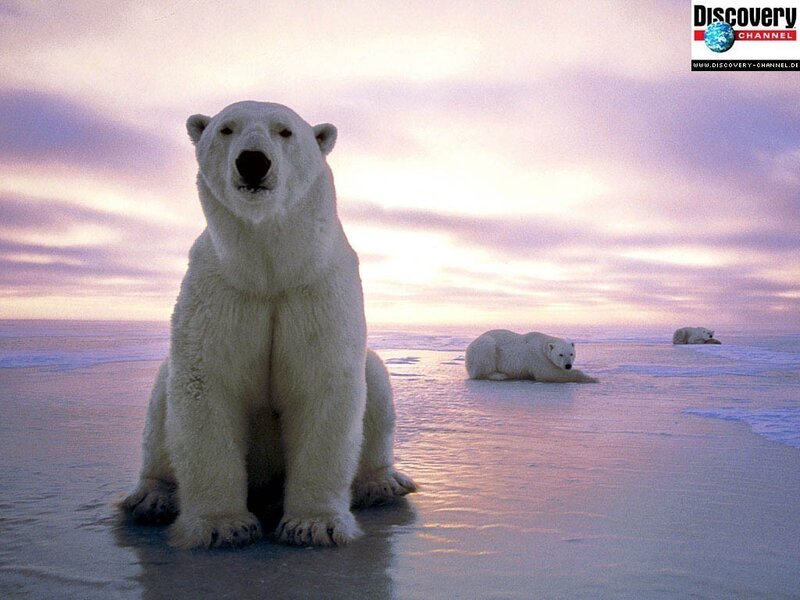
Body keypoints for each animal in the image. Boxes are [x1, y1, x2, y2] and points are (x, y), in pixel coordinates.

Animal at [122, 101, 415, 549]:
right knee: (160, 401)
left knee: (376, 380)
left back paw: (381, 485)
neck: (269, 272)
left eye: (285, 131)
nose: (253, 161)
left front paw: (312, 526)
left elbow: (321, 385)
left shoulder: (315, 293)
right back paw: (151, 498)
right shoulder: (221, 294)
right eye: (225, 129)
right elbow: (206, 385)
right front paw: (223, 526)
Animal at [465, 329, 598, 383]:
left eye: (571, 353)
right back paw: (500, 375)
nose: (568, 365)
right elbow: (549, 374)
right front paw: (592, 378)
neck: (543, 344)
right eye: (560, 354)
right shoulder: (538, 357)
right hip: (483, 348)